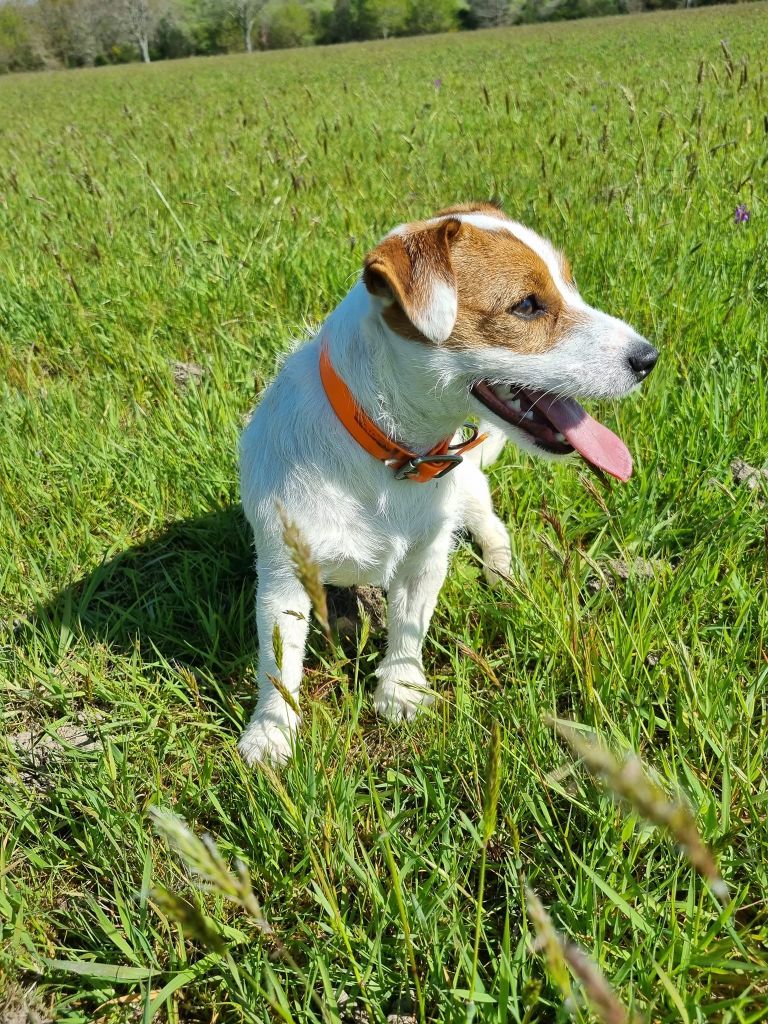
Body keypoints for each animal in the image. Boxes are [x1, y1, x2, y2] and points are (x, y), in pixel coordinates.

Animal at [237, 201, 659, 761]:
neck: (390, 457)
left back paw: (500, 573)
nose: (649, 358)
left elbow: (408, 630)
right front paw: (271, 731)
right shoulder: (283, 576)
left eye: (570, 286)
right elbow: (278, 662)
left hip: (469, 496)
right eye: (528, 305)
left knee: (495, 530)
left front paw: (401, 688)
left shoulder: (426, 559)